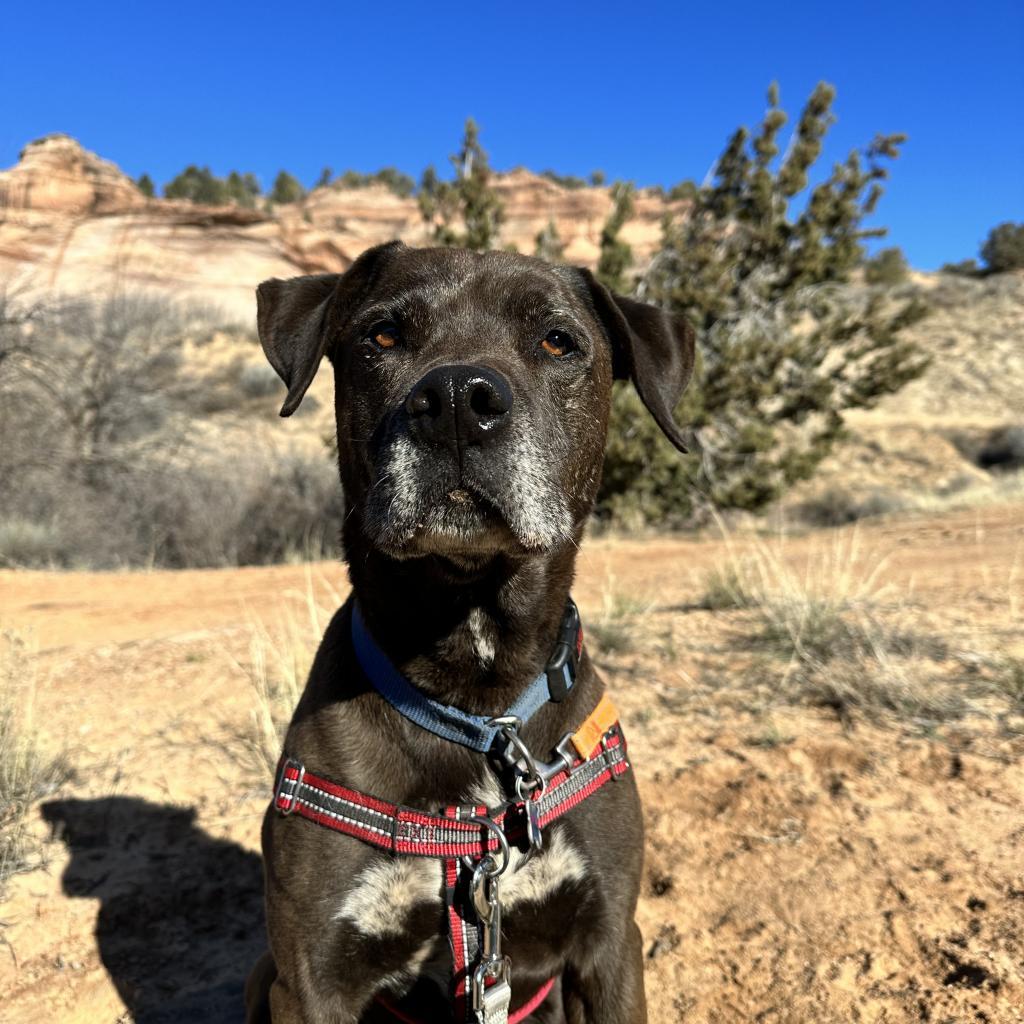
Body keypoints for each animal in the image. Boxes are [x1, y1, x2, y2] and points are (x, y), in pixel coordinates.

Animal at [245, 241, 696, 1024]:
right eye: (381, 336)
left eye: (558, 340)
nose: (458, 400)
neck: (477, 695)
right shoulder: (307, 981)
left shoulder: (611, 944)